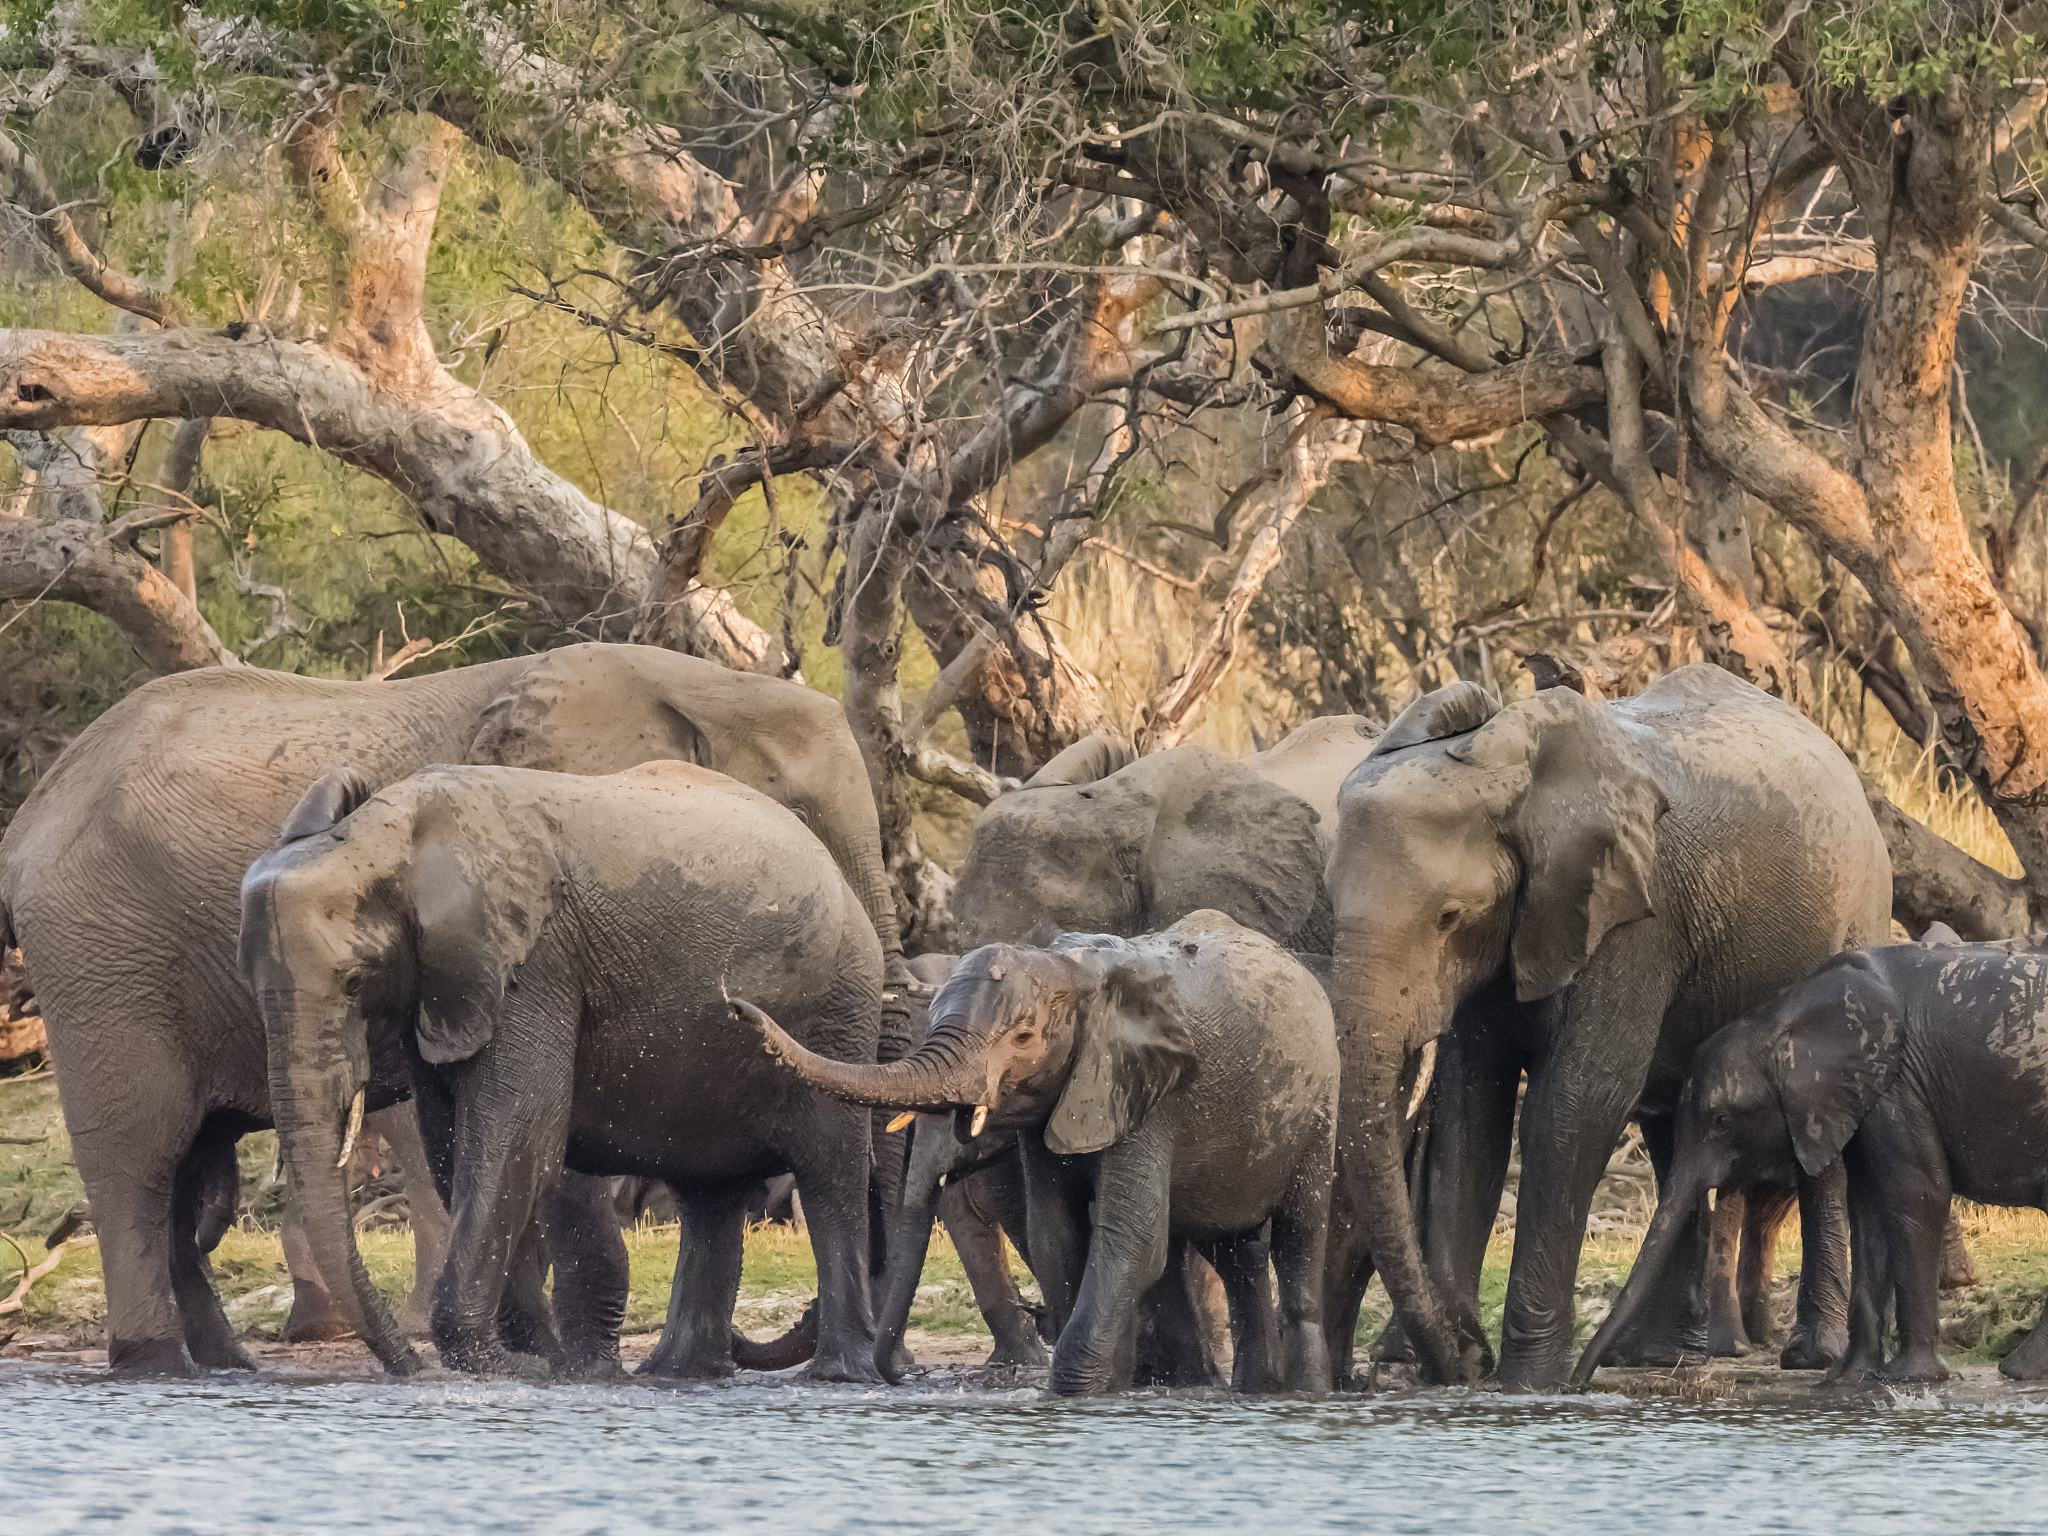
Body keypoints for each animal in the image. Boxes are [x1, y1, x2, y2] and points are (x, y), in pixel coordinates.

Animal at [239, 759, 884, 1381]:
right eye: (252, 986)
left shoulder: (537, 962)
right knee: (711, 1196)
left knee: (831, 1171)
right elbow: (450, 1142)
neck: (394, 837)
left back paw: (838, 1375)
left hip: (839, 1011)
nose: (411, 1369)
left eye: (355, 981)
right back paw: (678, 1374)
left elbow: (515, 1133)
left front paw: (499, 1366)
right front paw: (527, 1363)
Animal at [746, 909, 1339, 1395]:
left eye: (1024, 1037)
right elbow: (1056, 1235)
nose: (738, 1007)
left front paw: (1075, 1389)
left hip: (1321, 1107)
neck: (1072, 971)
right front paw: (1106, 1391)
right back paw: (1249, 1391)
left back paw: (1307, 1395)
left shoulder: (1150, 1091)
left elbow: (1131, 1239)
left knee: (1300, 1240)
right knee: (1236, 1252)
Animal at [1326, 664, 1892, 1391]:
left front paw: (1528, 1383)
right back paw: (1655, 1356)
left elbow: (1574, 1104)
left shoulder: (1634, 921)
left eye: (1450, 916)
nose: (1465, 1354)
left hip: (1858, 916)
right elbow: (1471, 1108)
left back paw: (1810, 1354)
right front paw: (1462, 1368)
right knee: (1671, 1125)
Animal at [1577, 939, 2048, 1386]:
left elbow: (1915, 1194)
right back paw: (2023, 1370)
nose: (1575, 1382)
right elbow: (1869, 1208)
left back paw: (2017, 1370)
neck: (1781, 1018)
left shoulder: (1898, 1085)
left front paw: (1909, 1378)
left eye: (1722, 1120)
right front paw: (1847, 1379)